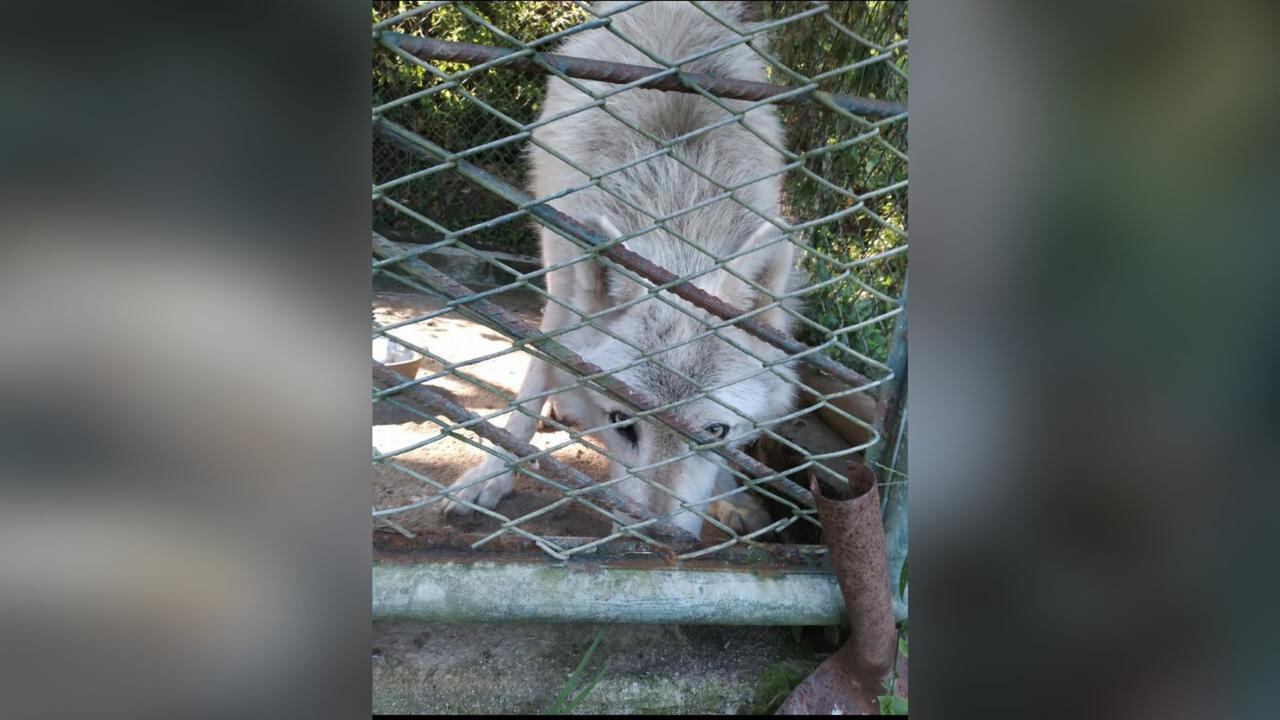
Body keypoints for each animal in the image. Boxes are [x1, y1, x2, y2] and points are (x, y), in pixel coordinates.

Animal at [444, 1, 802, 537]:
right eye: (620, 423)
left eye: (714, 431)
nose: (659, 541)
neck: (679, 216)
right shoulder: (562, 281)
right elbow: (535, 379)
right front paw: (492, 473)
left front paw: (731, 497)